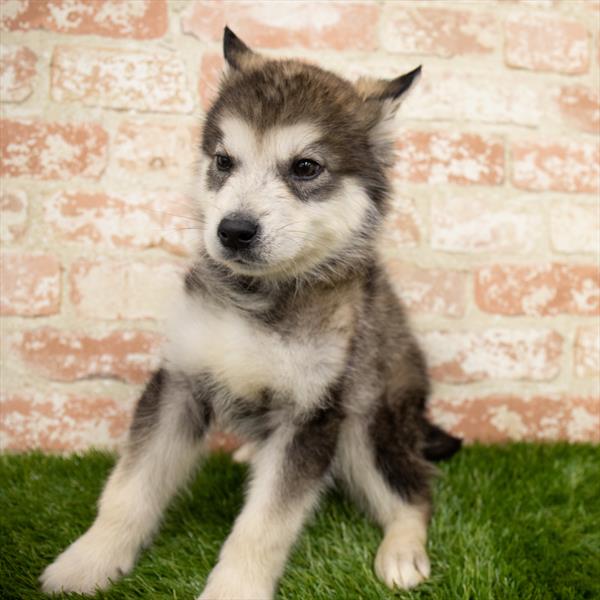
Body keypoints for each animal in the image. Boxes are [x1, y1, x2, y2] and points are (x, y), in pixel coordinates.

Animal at [42, 28, 462, 600]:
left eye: (305, 167)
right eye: (223, 161)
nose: (234, 231)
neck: (259, 297)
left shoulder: (312, 414)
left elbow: (264, 525)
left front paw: (233, 589)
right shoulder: (179, 382)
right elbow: (129, 487)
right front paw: (88, 561)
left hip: (366, 424)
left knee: (415, 493)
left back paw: (402, 551)